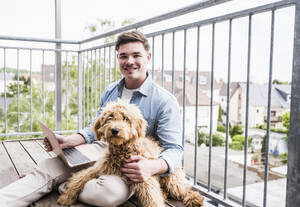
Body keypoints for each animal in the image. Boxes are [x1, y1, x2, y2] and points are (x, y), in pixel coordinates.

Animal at [56, 100, 204, 205]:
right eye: (110, 117)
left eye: (125, 118)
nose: (115, 130)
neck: (122, 151)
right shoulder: (98, 168)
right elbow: (78, 179)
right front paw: (66, 197)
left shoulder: (144, 177)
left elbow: (152, 199)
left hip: (171, 178)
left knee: (182, 188)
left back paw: (194, 198)